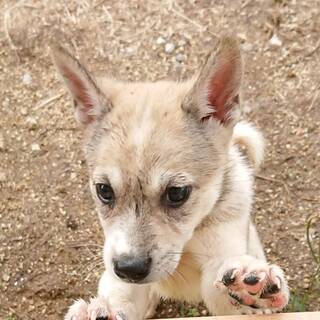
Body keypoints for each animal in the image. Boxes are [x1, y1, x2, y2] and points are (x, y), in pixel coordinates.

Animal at [50, 36, 290, 318]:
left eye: (177, 193)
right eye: (104, 190)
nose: (129, 269)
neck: (186, 246)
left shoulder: (219, 264)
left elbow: (227, 292)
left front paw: (250, 287)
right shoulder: (121, 280)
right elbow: (121, 298)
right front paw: (100, 310)